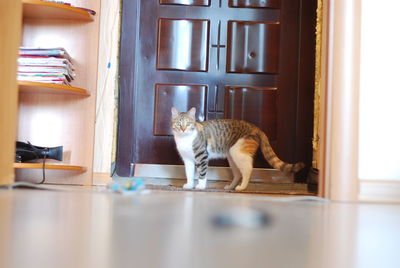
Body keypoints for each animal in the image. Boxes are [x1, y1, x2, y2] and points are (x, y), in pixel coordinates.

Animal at [170, 107, 304, 191]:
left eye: (188, 124)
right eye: (178, 124)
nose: (183, 129)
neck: (184, 139)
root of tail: (256, 127)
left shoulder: (202, 156)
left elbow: (202, 173)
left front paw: (201, 186)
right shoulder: (188, 160)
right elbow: (188, 173)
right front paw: (189, 185)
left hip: (238, 153)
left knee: (248, 170)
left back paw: (242, 187)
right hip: (232, 156)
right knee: (238, 173)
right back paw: (231, 187)